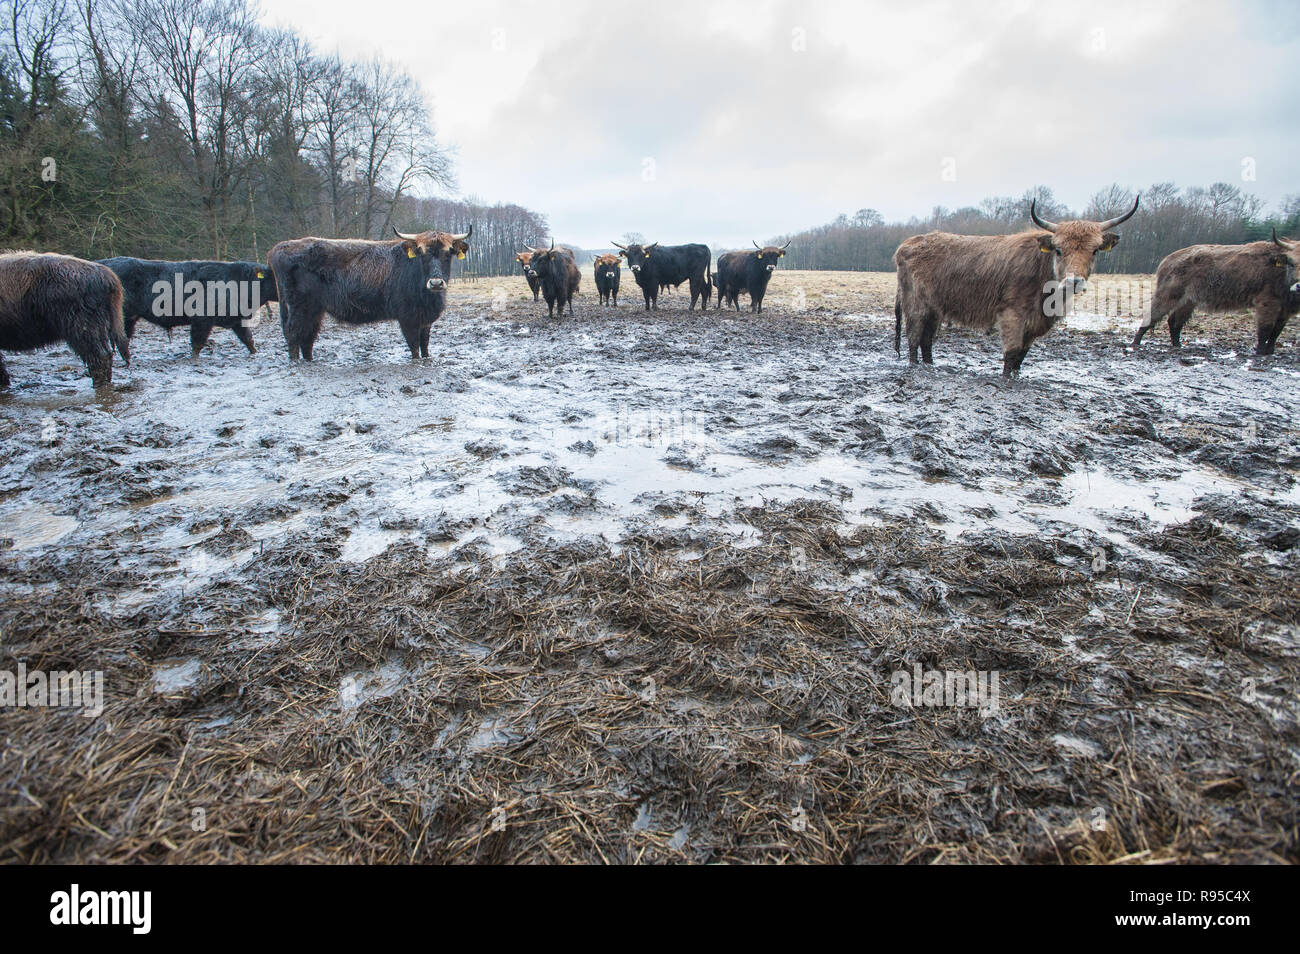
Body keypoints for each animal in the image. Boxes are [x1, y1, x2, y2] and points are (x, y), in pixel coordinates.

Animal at [100, 256, 278, 356]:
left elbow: (248, 339)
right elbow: (197, 343)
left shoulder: (237, 319)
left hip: (129, 318)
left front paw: (256, 354)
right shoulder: (202, 319)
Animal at [894, 197, 1138, 376]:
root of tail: (906, 244)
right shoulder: (1012, 313)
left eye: (1094, 250)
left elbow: (1021, 356)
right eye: (1059, 250)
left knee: (926, 340)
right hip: (916, 304)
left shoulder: (1036, 322)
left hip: (935, 309)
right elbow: (1011, 354)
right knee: (914, 338)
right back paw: (915, 366)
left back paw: (930, 365)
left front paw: (1016, 375)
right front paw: (1006, 378)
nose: (1074, 280)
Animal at [1128, 227, 1300, 356]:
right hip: (1168, 294)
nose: (1298, 286)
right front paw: (1260, 352)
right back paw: (1136, 343)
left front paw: (1270, 351)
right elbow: (1265, 329)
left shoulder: (1287, 308)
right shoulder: (1267, 302)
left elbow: (1277, 331)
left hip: (1189, 300)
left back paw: (1177, 345)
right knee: (1152, 316)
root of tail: (1167, 259)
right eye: (1292, 263)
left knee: (1174, 322)